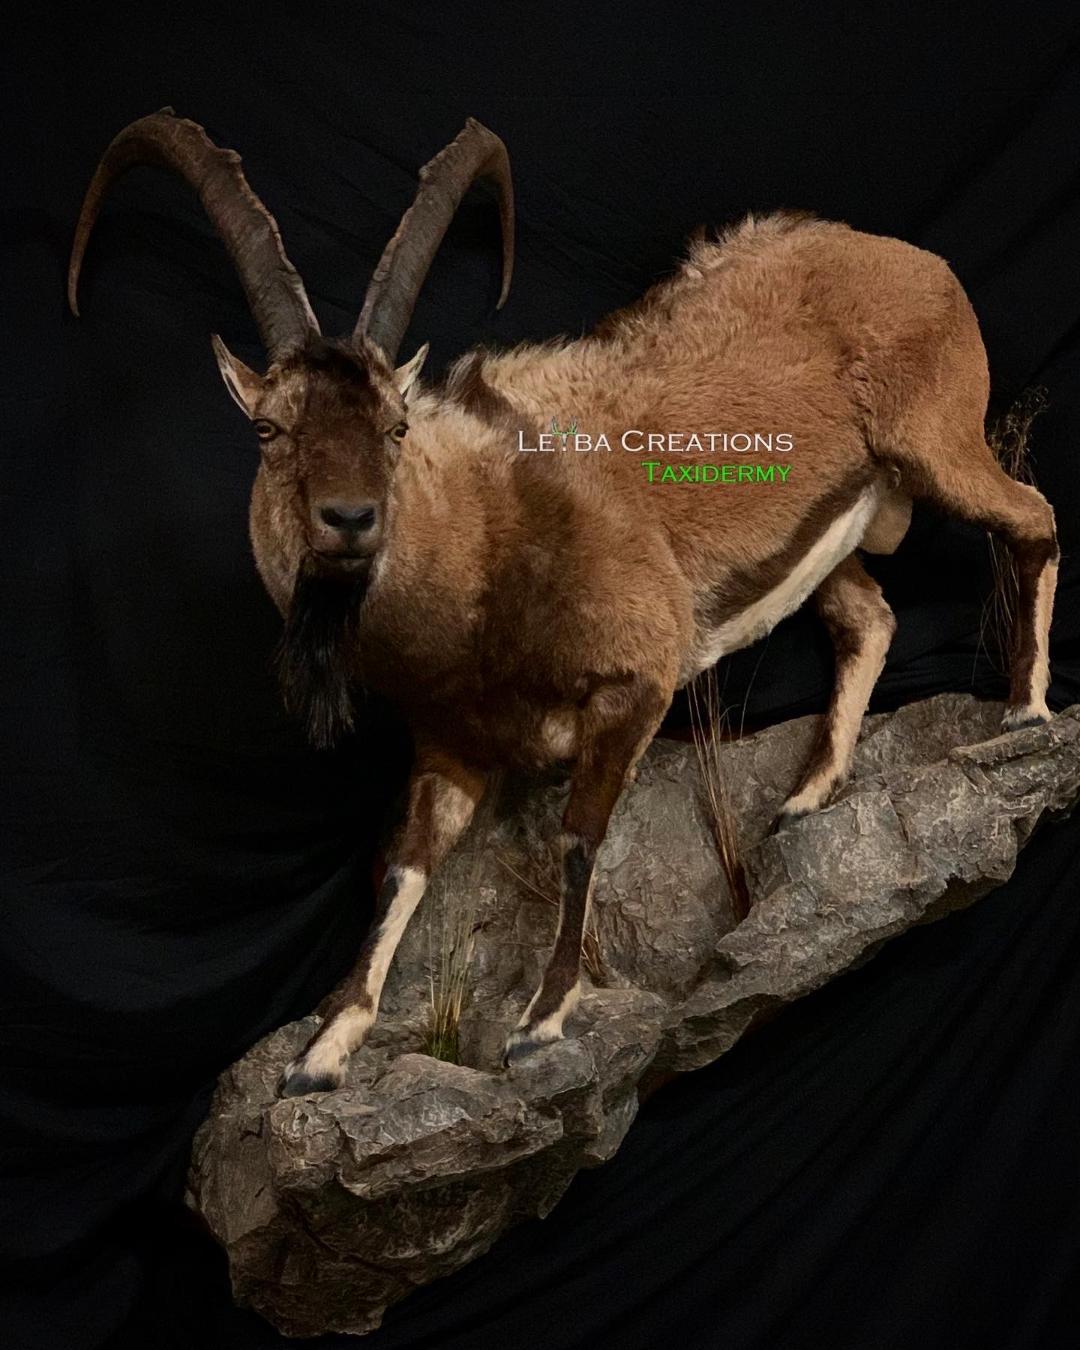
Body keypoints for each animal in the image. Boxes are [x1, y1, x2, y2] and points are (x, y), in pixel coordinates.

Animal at [69, 110, 1059, 1093]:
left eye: (396, 425)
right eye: (270, 430)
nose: (349, 520)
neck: (491, 546)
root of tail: (916, 263)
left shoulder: (636, 685)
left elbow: (580, 838)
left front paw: (541, 1020)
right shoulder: (451, 745)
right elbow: (403, 868)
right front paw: (326, 1047)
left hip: (939, 443)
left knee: (1034, 520)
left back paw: (1024, 714)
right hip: (835, 540)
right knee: (870, 617)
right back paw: (809, 796)